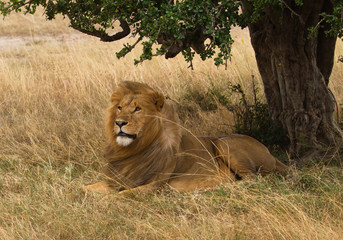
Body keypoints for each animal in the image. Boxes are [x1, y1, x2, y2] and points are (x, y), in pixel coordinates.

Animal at [83, 81, 288, 194]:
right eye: (119, 108)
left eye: (137, 109)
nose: (118, 123)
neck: (135, 149)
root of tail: (269, 152)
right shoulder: (119, 178)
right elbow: (86, 187)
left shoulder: (157, 185)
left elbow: (121, 195)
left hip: (223, 143)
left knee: (253, 180)